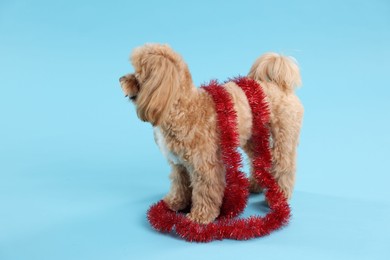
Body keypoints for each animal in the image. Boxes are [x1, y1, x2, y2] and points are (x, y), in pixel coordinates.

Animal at [120, 43, 304, 224]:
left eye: (137, 73)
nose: (120, 79)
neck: (184, 106)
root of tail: (280, 86)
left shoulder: (205, 165)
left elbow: (205, 191)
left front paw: (200, 216)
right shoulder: (179, 165)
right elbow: (179, 185)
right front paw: (175, 203)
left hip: (283, 137)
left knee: (284, 165)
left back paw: (280, 195)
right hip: (254, 138)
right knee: (260, 160)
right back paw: (255, 185)